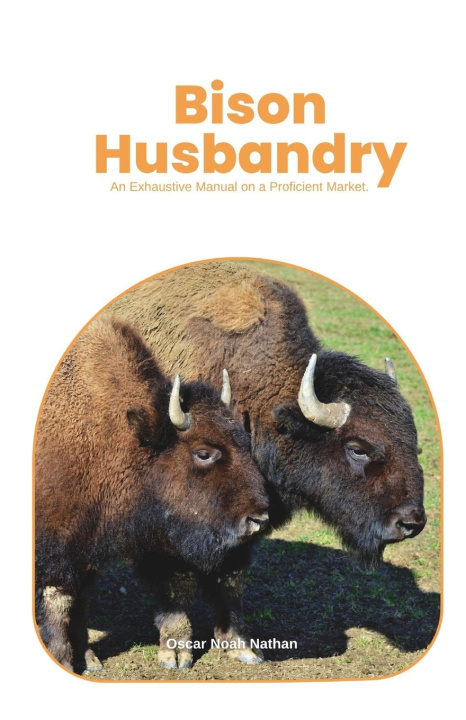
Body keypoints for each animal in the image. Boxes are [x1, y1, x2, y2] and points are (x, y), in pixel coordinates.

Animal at [35, 317, 269, 672]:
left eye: (245, 442)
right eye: (203, 453)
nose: (259, 517)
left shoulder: (88, 552)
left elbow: (81, 603)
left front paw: (89, 659)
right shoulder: (57, 550)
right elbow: (60, 604)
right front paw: (64, 659)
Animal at [106, 261, 427, 665]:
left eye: (413, 442)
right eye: (358, 448)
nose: (411, 522)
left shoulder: (247, 523)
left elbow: (231, 580)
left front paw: (242, 646)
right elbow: (176, 583)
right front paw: (175, 655)